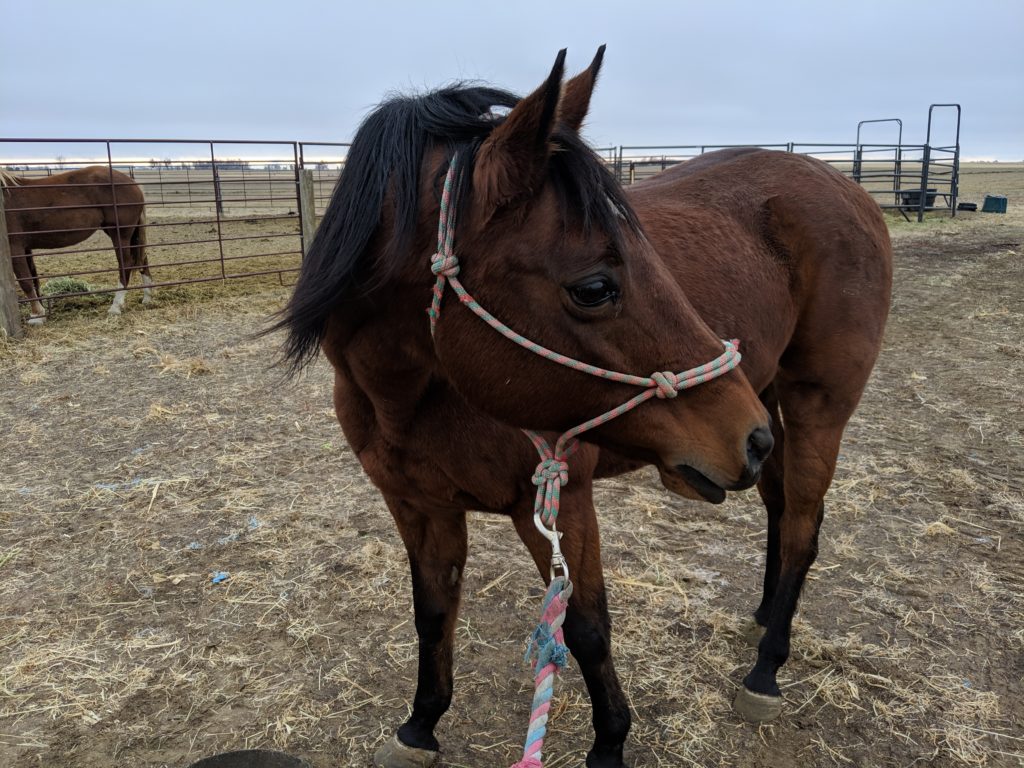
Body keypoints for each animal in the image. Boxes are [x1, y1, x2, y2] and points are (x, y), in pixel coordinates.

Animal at [1, 166, 149, 323]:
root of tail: (133, 183)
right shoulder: (26, 247)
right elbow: (34, 279)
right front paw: (40, 313)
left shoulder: (14, 247)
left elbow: (25, 281)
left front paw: (36, 316)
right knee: (142, 259)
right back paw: (147, 297)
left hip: (120, 234)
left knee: (126, 264)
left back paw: (116, 306)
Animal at [272, 48, 888, 768]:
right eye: (595, 287)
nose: (745, 438)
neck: (414, 397)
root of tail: (849, 189)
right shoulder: (417, 505)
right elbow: (434, 613)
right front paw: (421, 724)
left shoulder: (561, 498)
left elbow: (586, 627)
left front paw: (611, 743)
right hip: (767, 397)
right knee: (780, 503)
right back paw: (765, 615)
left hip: (817, 403)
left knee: (801, 528)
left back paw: (765, 670)